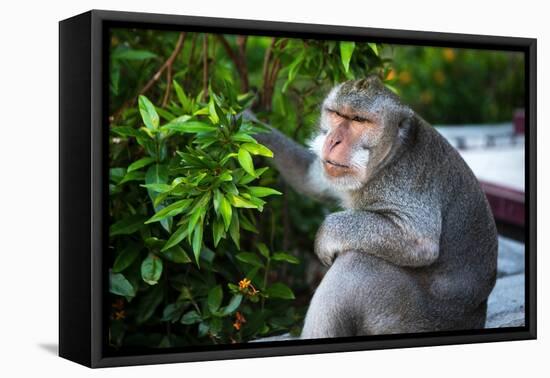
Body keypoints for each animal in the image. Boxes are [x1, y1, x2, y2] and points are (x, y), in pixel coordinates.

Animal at [254, 76, 500, 336]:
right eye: (337, 114)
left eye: (359, 120)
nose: (333, 140)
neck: (388, 159)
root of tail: (477, 315)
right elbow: (309, 177)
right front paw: (247, 122)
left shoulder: (403, 183)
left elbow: (419, 242)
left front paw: (326, 235)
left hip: (410, 317)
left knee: (356, 264)